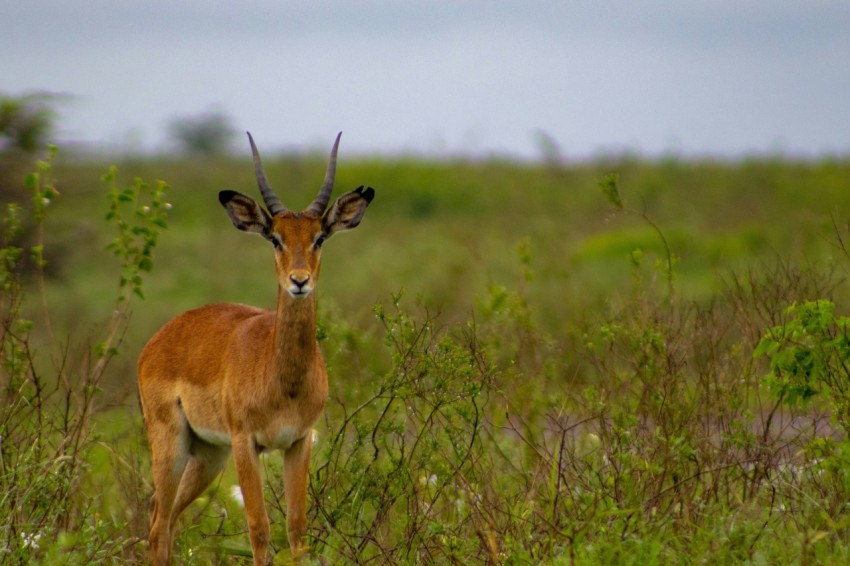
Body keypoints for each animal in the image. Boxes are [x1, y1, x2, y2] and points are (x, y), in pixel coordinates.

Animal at [138, 132, 374, 565]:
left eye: (319, 237)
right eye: (276, 239)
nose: (299, 281)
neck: (283, 380)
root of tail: (160, 337)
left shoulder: (298, 441)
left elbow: (296, 528)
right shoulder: (246, 443)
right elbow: (259, 528)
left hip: (209, 454)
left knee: (164, 514)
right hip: (172, 443)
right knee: (158, 522)